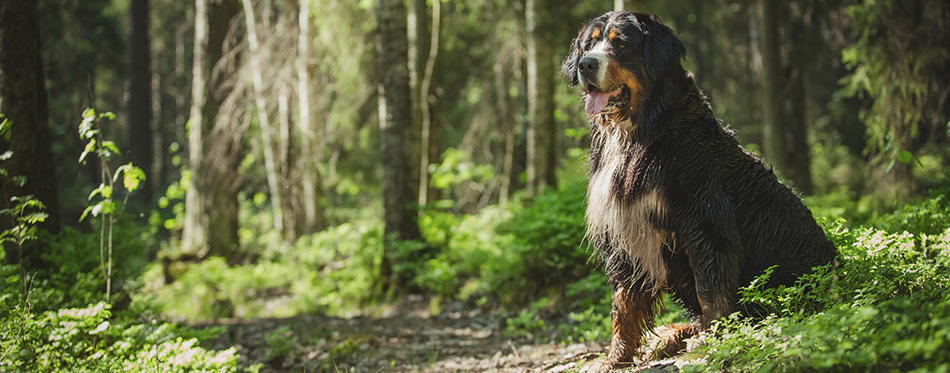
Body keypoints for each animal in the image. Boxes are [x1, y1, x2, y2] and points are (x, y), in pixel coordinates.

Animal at [560, 10, 836, 368]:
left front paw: (711, 340)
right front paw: (615, 357)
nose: (586, 65)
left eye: (621, 45)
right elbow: (624, 304)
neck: (640, 133)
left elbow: (711, 288)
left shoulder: (704, 220)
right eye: (588, 44)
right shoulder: (623, 230)